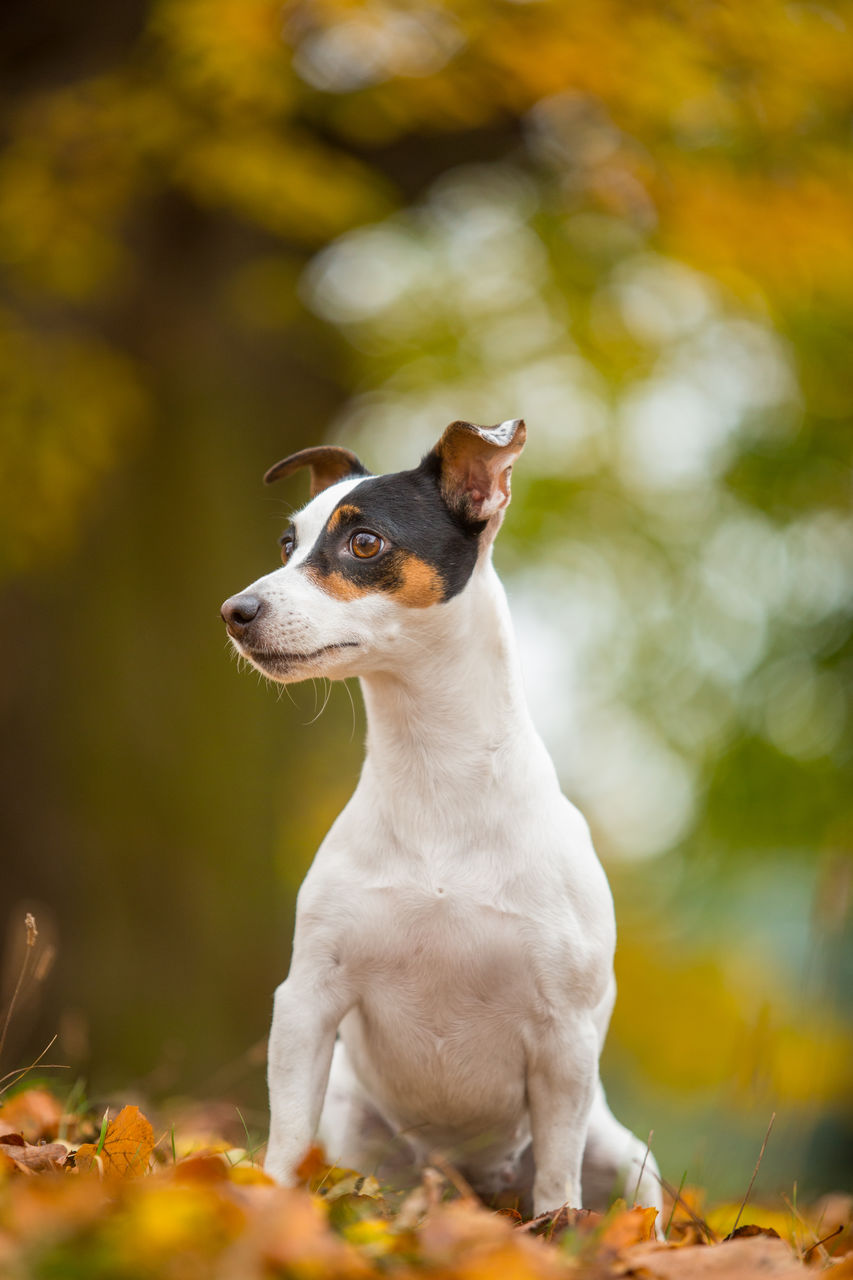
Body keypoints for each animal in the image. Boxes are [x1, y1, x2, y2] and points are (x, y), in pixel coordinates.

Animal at [219, 419, 655, 1218]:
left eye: (364, 543)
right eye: (286, 543)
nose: (235, 612)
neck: (434, 777)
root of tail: (474, 1185)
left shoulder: (565, 1038)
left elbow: (557, 1180)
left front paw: (558, 1228)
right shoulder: (307, 1003)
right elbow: (286, 1138)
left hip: (627, 1160)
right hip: (361, 1135)